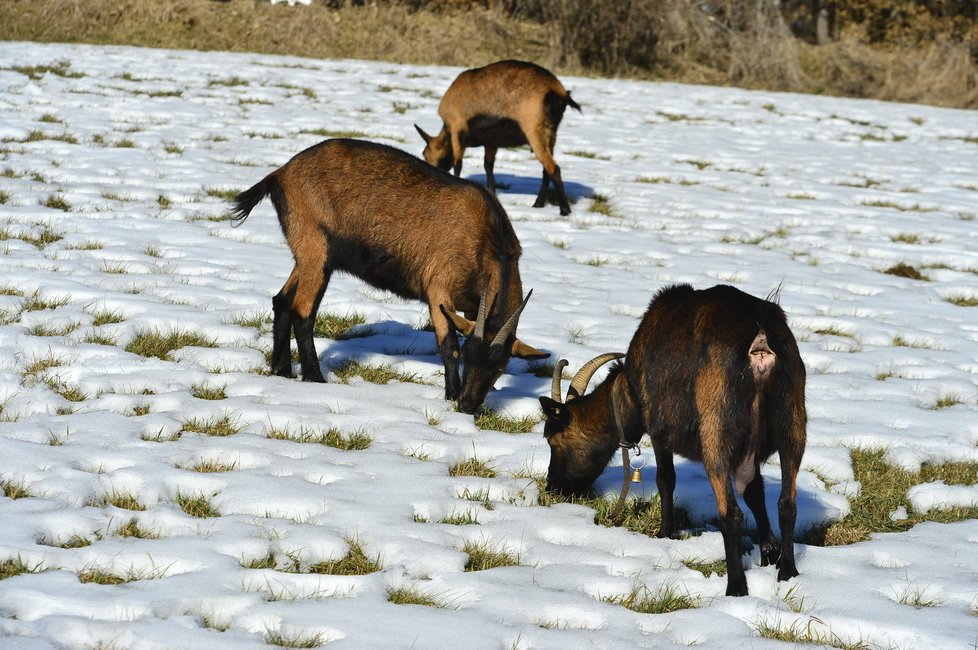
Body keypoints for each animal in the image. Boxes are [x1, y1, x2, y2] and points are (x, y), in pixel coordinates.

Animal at [231, 137, 548, 412]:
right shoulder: (439, 289)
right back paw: (314, 377)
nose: (468, 405)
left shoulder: (473, 306)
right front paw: (450, 395)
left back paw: (282, 370)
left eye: (500, 366)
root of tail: (280, 174)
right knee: (302, 311)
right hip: (315, 248)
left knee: (282, 301)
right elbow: (448, 346)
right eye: (470, 356)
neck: (487, 239)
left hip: (309, 256)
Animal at [414, 59, 580, 215]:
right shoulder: (491, 142)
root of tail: (558, 91)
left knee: (553, 168)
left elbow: (458, 164)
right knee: (546, 170)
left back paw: (564, 209)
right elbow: (488, 166)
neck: (447, 130)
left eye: (426, 155)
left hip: (535, 130)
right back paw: (538, 204)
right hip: (551, 133)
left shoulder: (457, 129)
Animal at [536, 280, 804, 596]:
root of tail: (760, 342)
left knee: (731, 514)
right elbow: (755, 491)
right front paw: (769, 552)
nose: (553, 486)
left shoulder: (659, 429)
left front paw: (665, 533)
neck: (628, 393)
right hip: (793, 426)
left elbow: (665, 479)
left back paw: (736, 587)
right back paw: (788, 573)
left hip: (717, 433)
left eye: (554, 440)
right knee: (787, 504)